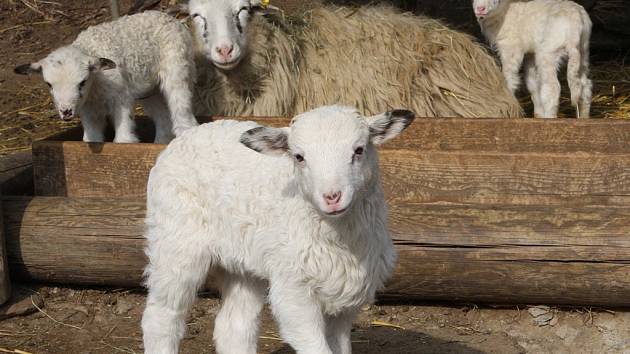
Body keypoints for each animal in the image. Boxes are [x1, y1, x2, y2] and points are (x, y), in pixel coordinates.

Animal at [14, 11, 198, 144]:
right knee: (161, 115)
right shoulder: (87, 108)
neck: (95, 84)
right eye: (49, 84)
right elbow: (91, 138)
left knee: (180, 106)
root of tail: (172, 18)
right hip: (149, 88)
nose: (66, 112)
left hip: (177, 65)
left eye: (82, 82)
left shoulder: (121, 97)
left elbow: (123, 137)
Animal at [141, 106, 414, 354]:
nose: (332, 197)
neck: (339, 238)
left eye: (359, 150)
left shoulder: (346, 297)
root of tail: (188, 135)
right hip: (176, 241)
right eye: (299, 157)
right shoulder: (294, 290)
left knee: (235, 326)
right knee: (161, 316)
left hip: (242, 261)